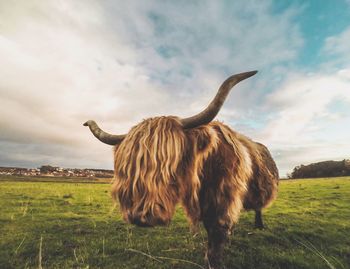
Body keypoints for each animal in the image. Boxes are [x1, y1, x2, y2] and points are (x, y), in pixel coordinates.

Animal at [84, 70, 278, 266]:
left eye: (170, 164)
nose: (139, 216)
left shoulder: (224, 201)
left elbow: (218, 233)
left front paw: (213, 260)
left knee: (258, 208)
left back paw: (259, 225)